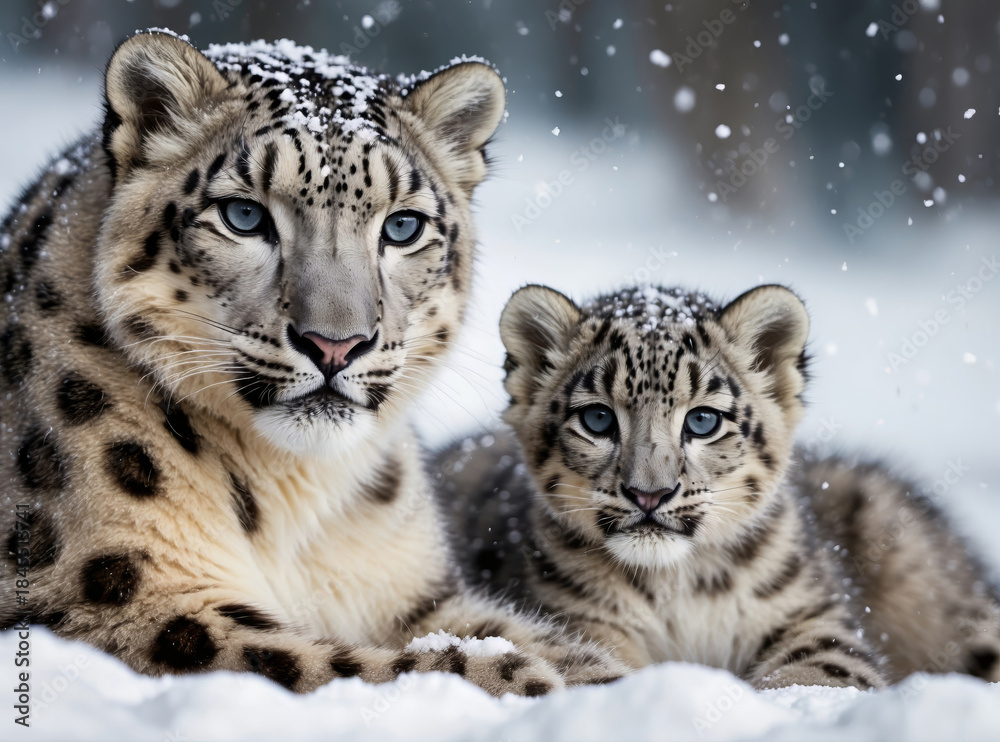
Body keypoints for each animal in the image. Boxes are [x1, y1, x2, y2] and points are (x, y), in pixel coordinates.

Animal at [0, 30, 627, 695]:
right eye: (244, 215)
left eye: (403, 226)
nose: (335, 344)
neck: (294, 494)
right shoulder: (118, 598)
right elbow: (333, 662)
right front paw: (517, 677)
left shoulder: (413, 594)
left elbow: (537, 638)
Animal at [436, 283, 1000, 690]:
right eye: (597, 418)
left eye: (703, 420)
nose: (649, 493)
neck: (681, 592)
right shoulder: (574, 619)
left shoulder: (812, 617)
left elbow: (823, 673)